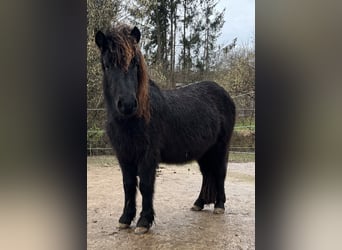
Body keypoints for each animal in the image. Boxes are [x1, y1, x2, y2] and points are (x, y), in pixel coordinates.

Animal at [95, 24, 235, 233]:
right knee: (206, 175)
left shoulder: (148, 155)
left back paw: (219, 206)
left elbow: (145, 185)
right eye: (107, 65)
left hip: (220, 148)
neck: (133, 120)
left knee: (219, 173)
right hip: (204, 152)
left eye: (135, 63)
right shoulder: (124, 155)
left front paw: (144, 222)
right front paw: (125, 219)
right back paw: (199, 203)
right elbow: (128, 185)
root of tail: (223, 93)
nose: (127, 104)